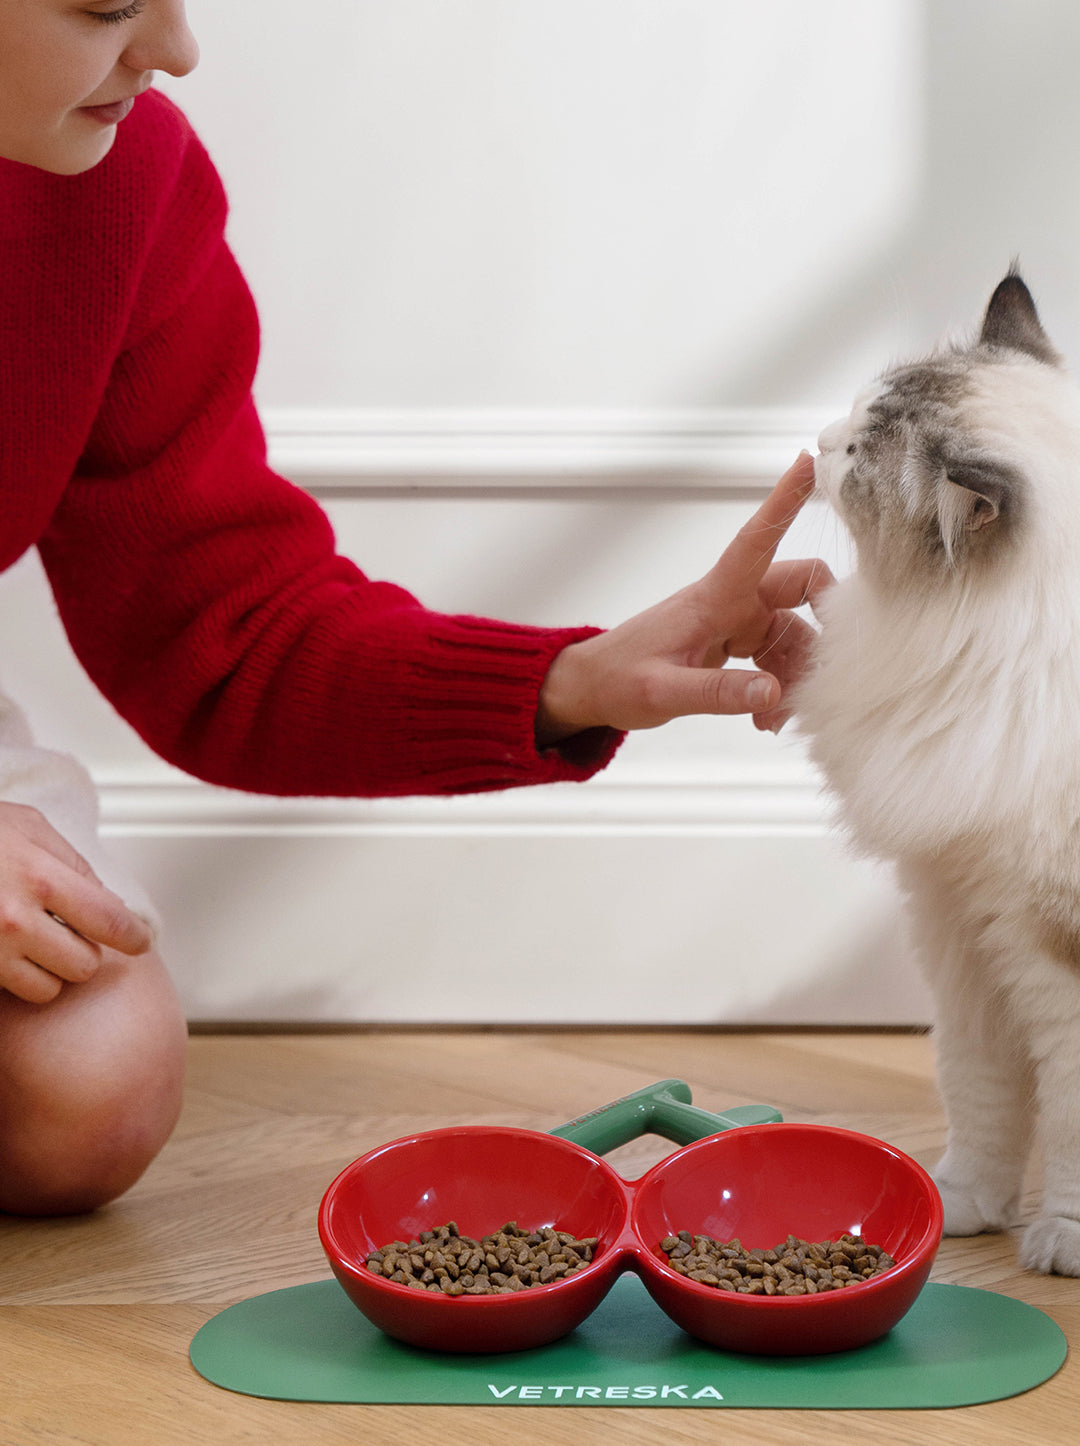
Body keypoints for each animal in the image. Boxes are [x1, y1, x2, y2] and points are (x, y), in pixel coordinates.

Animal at [798, 273, 1080, 1278]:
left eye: (858, 453)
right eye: (852, 415)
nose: (816, 438)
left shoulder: (1055, 955)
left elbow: (1070, 1120)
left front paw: (1061, 1242)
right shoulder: (964, 927)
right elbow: (983, 1094)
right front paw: (960, 1207)